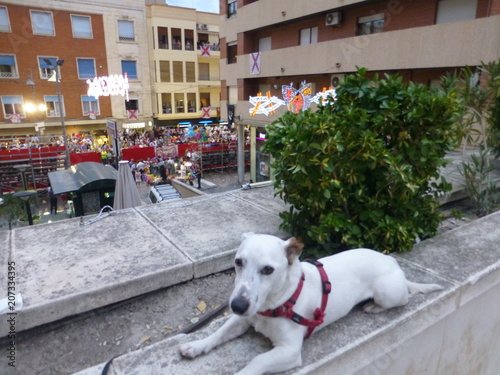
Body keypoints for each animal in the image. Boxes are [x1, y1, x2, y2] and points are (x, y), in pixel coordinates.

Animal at [180, 234, 442, 374]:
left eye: (268, 269)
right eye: (238, 262)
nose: (237, 305)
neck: (274, 303)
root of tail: (390, 260)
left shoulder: (289, 351)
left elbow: (258, 360)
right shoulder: (244, 319)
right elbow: (218, 332)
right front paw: (196, 345)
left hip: (387, 293)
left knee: (404, 298)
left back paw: (374, 306)